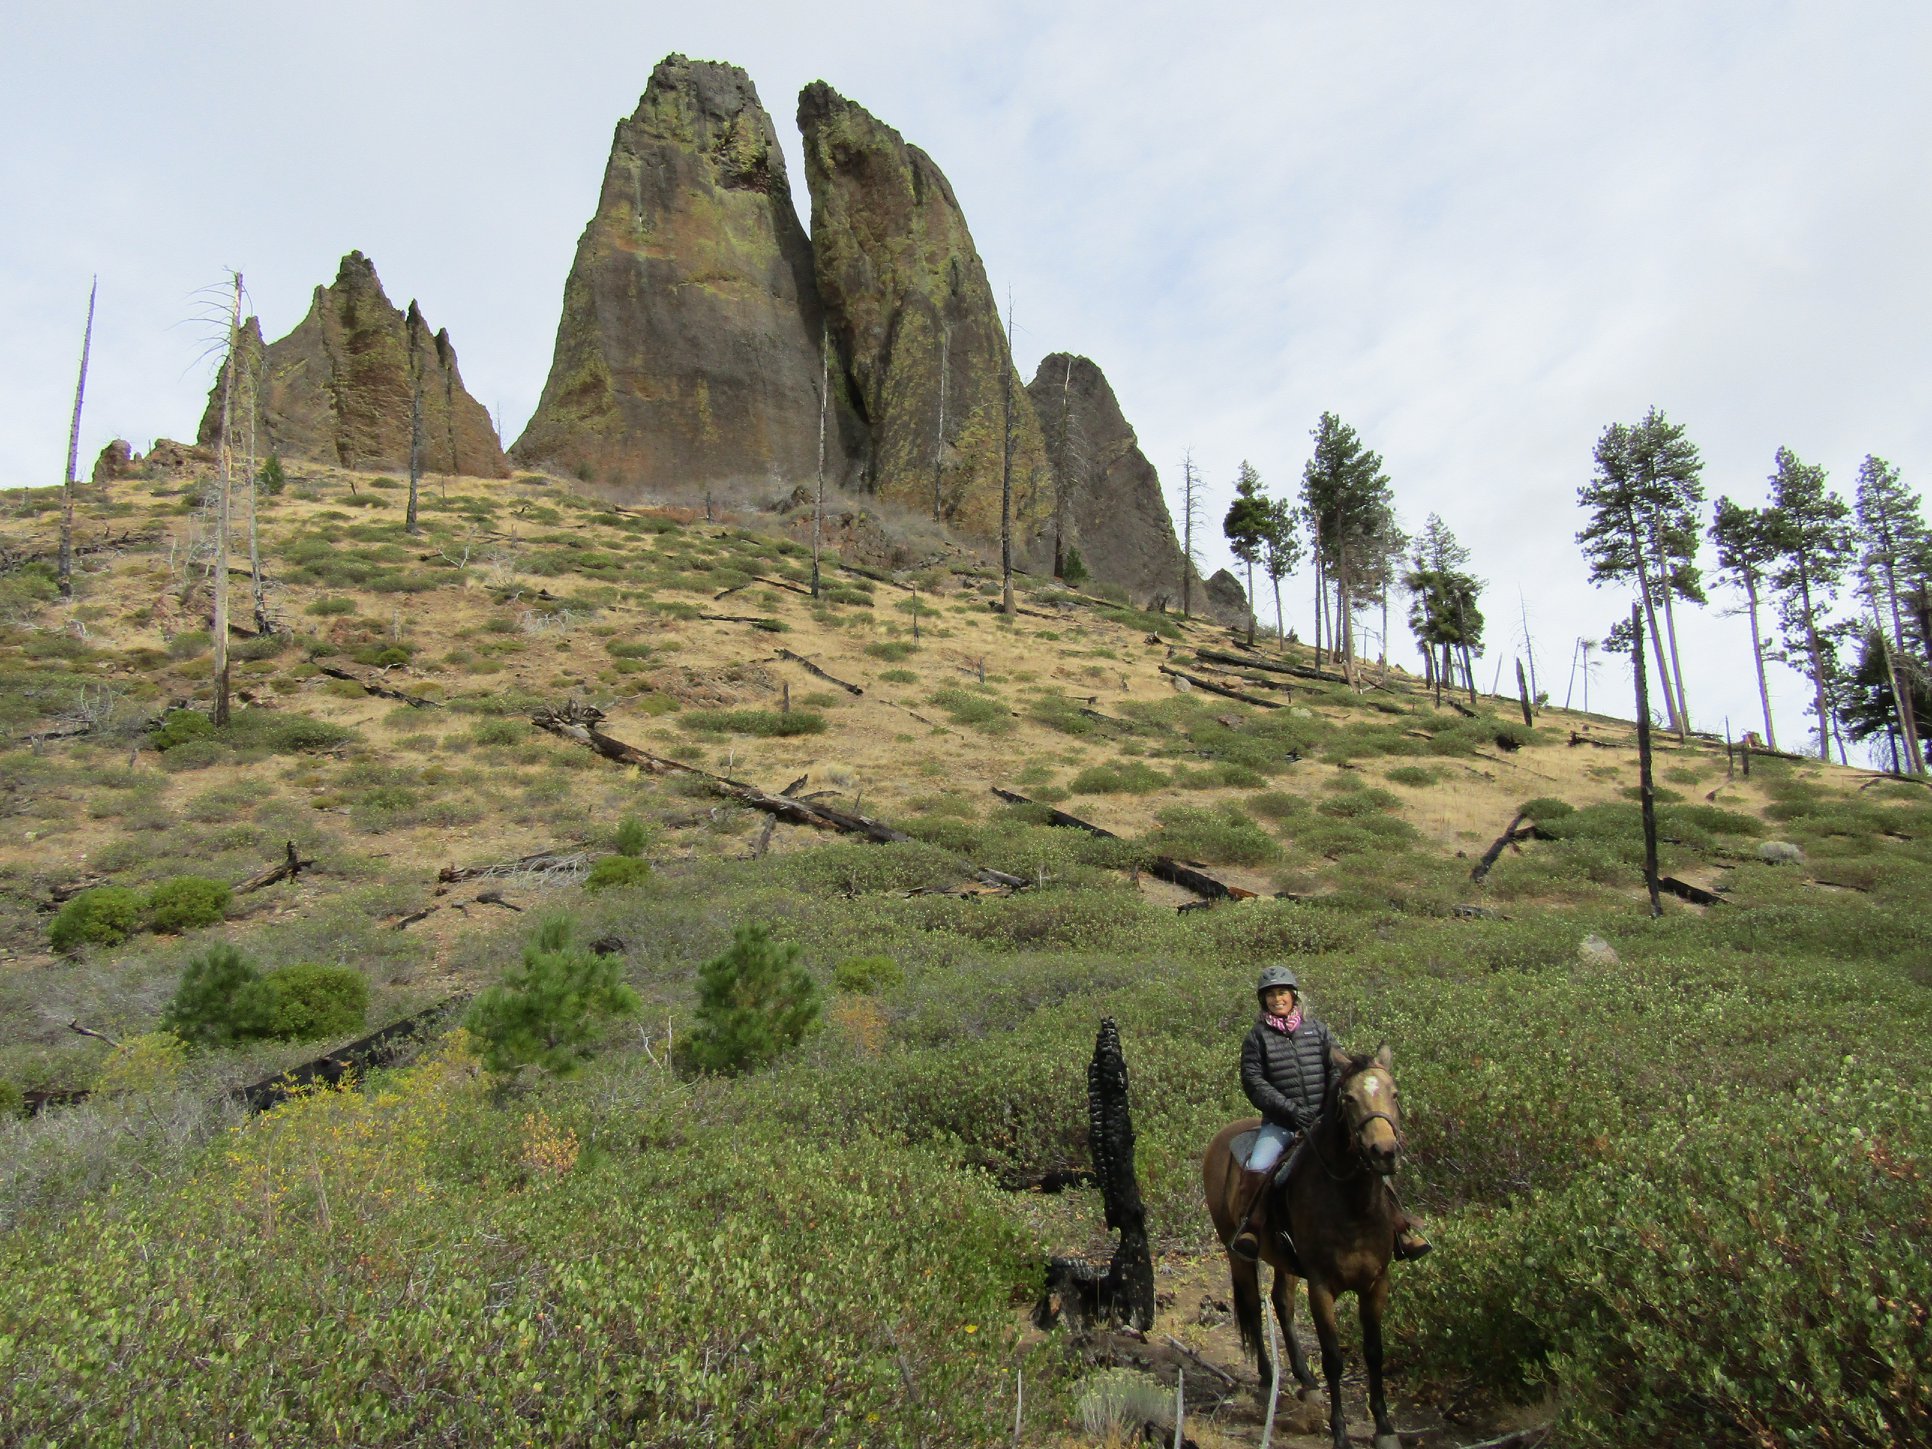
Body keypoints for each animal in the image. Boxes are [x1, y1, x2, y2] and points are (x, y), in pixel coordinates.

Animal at [1197, 1043, 1414, 1449]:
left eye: (1393, 1094)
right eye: (1349, 1098)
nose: (1384, 1151)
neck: (1352, 1206)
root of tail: (1221, 1136)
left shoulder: (1377, 1283)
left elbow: (1374, 1353)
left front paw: (1384, 1428)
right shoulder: (1321, 1286)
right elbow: (1333, 1358)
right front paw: (1340, 1432)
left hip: (1284, 1260)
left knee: (1281, 1302)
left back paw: (1306, 1380)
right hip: (1237, 1252)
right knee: (1254, 1307)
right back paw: (1268, 1380)